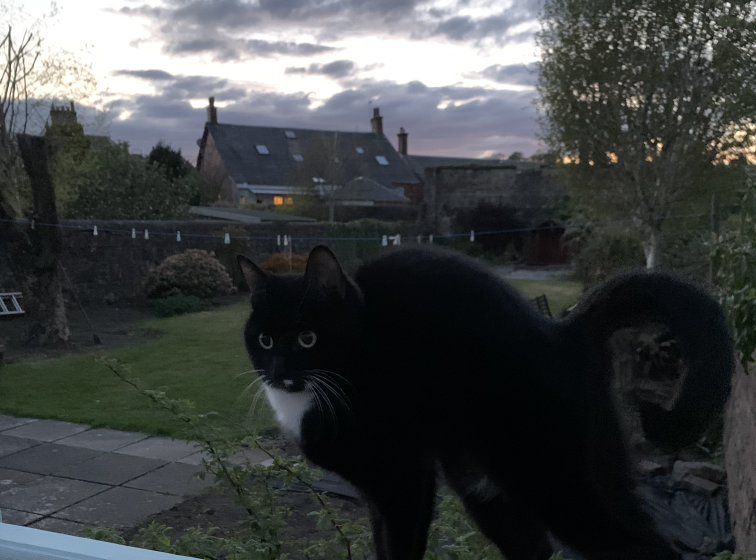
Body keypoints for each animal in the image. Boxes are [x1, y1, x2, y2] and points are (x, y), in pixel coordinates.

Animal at [238, 245, 732, 560]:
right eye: (264, 340)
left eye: (307, 338)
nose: (279, 370)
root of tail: (566, 333)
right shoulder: (379, 493)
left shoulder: (404, 480)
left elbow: (400, 548)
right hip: (506, 478)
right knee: (540, 546)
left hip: (552, 476)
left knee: (643, 548)